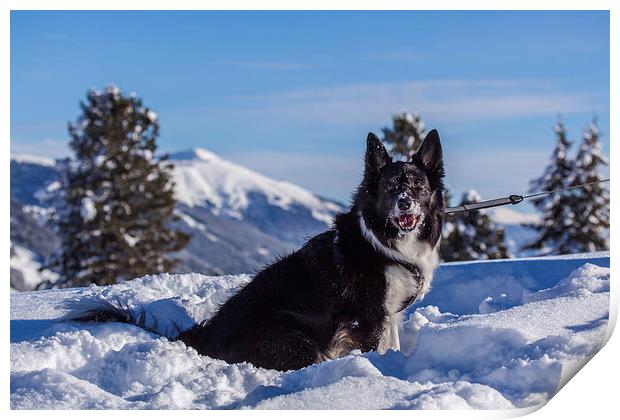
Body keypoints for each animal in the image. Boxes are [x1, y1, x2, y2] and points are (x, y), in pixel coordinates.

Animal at [69, 130, 446, 370]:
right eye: (390, 187)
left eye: (417, 186)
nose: (405, 203)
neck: (384, 243)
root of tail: (205, 337)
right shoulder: (367, 316)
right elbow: (376, 347)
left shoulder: (389, 315)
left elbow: (392, 343)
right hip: (294, 335)